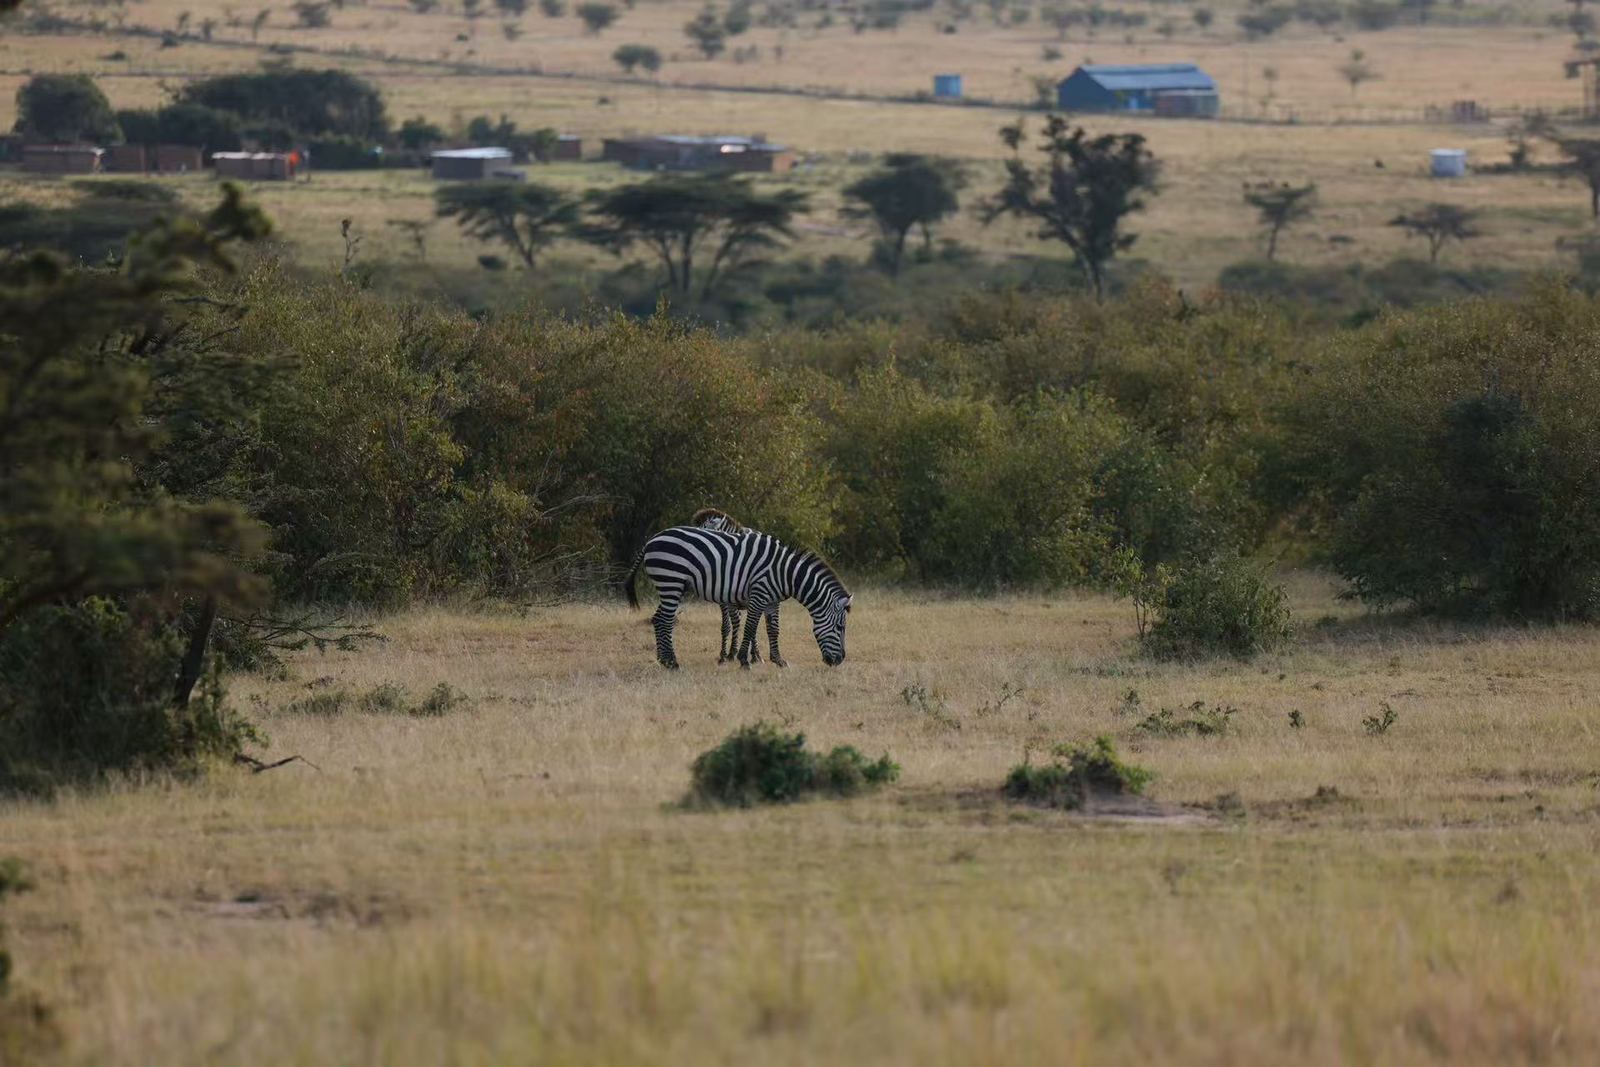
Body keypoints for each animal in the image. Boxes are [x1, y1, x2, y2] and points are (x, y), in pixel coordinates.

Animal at [623, 525, 852, 669]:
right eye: (840, 627)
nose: (839, 660)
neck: (785, 574)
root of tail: (652, 540)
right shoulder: (759, 594)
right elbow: (750, 627)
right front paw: (744, 661)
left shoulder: (772, 601)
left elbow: (773, 629)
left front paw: (778, 660)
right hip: (671, 581)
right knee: (665, 620)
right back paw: (672, 663)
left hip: (669, 586)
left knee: (658, 619)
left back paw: (663, 660)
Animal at [691, 507, 784, 666]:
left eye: (704, 535)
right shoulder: (725, 601)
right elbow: (728, 626)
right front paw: (726, 655)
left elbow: (749, 626)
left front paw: (743, 654)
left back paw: (754, 655)